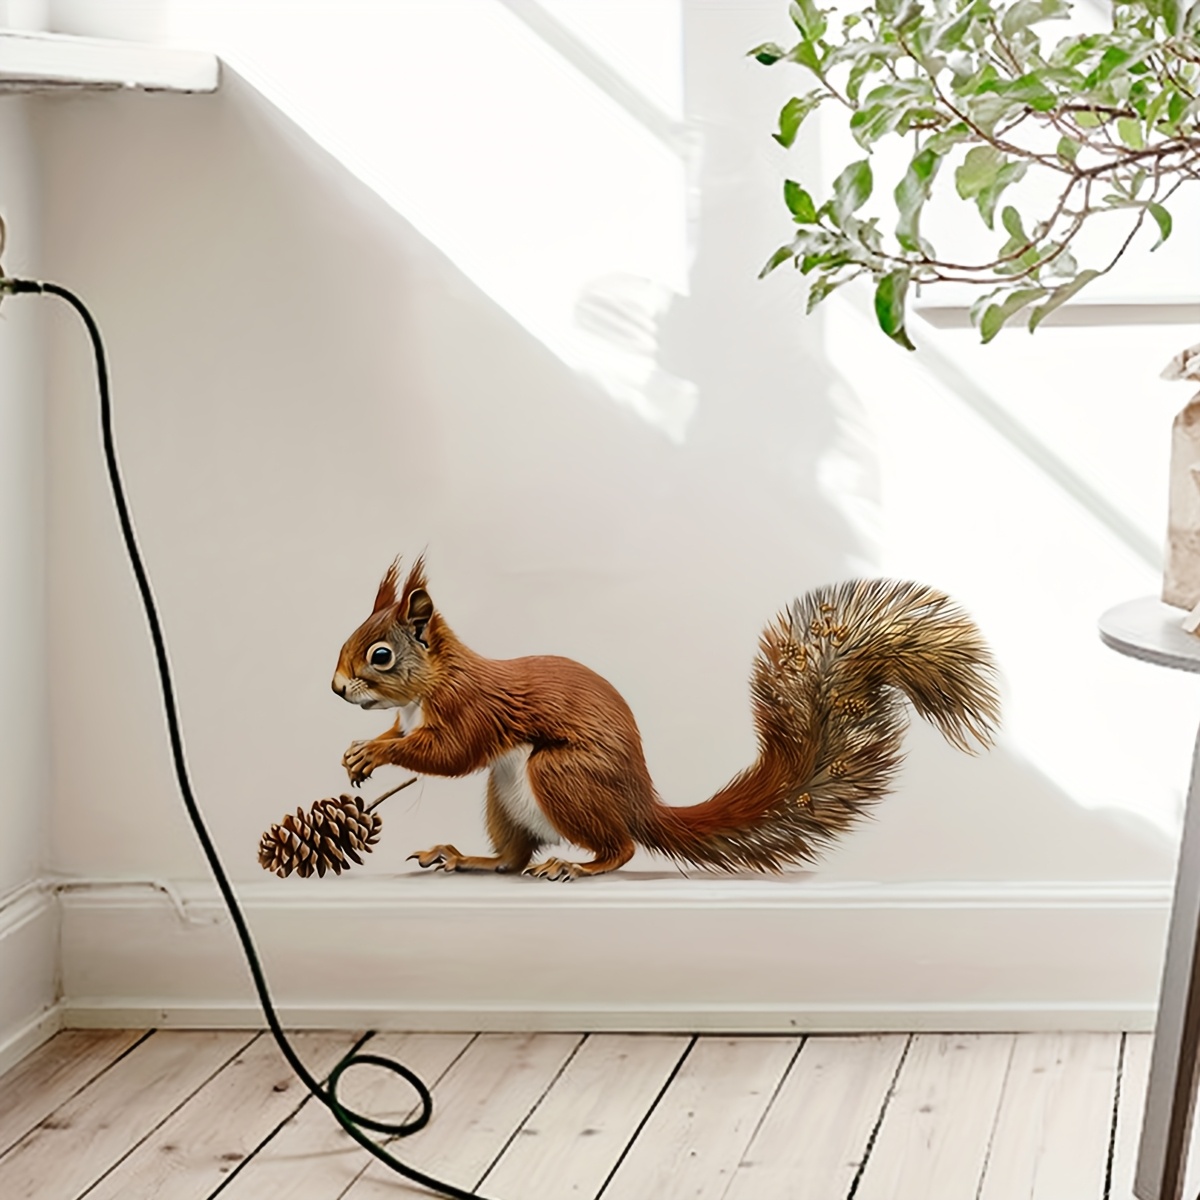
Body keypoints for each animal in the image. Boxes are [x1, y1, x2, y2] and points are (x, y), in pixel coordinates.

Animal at [332, 557, 999, 880]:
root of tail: (639, 802)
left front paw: (373, 752)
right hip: (505, 797)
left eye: (380, 654)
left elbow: (449, 754)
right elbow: (408, 738)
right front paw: (358, 752)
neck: (427, 688)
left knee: (621, 848)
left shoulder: (473, 708)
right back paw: (464, 857)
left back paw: (575, 866)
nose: (337, 688)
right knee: (511, 858)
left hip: (559, 774)